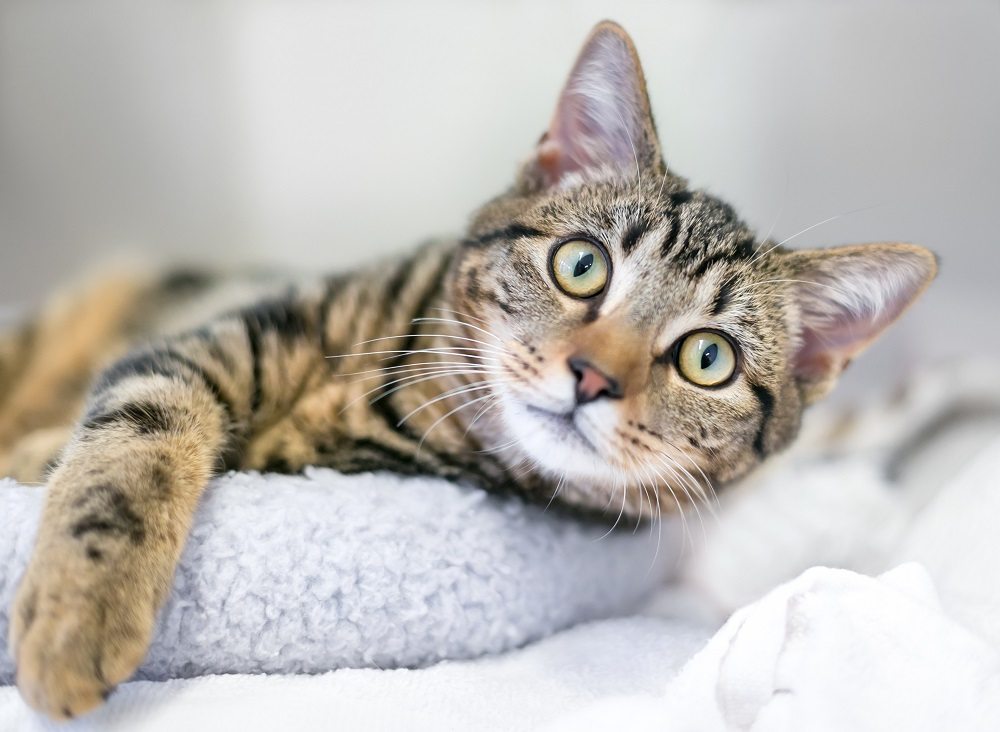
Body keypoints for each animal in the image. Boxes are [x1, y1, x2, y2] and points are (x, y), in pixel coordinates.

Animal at [1, 20, 936, 716]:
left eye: (708, 358)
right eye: (581, 265)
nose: (592, 377)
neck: (400, 392)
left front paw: (71, 607)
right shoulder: (210, 340)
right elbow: (134, 447)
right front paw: (79, 610)